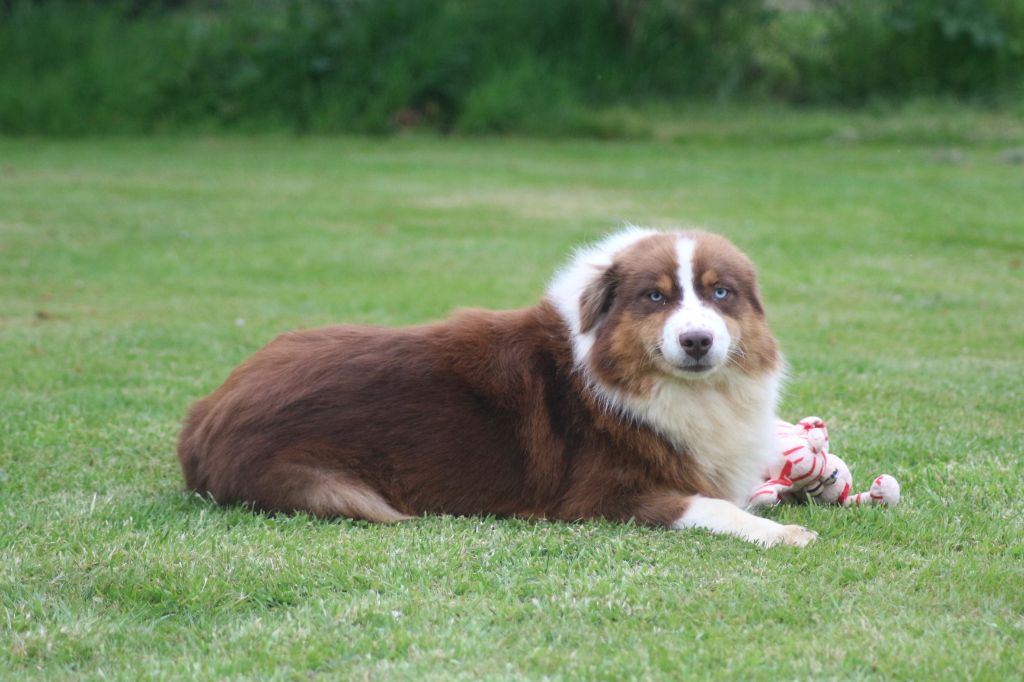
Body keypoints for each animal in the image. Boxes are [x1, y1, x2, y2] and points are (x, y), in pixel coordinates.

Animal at [176, 228, 815, 548]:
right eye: (655, 297)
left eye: (720, 293)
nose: (697, 341)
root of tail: (203, 415)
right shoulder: (598, 497)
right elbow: (709, 505)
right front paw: (782, 532)